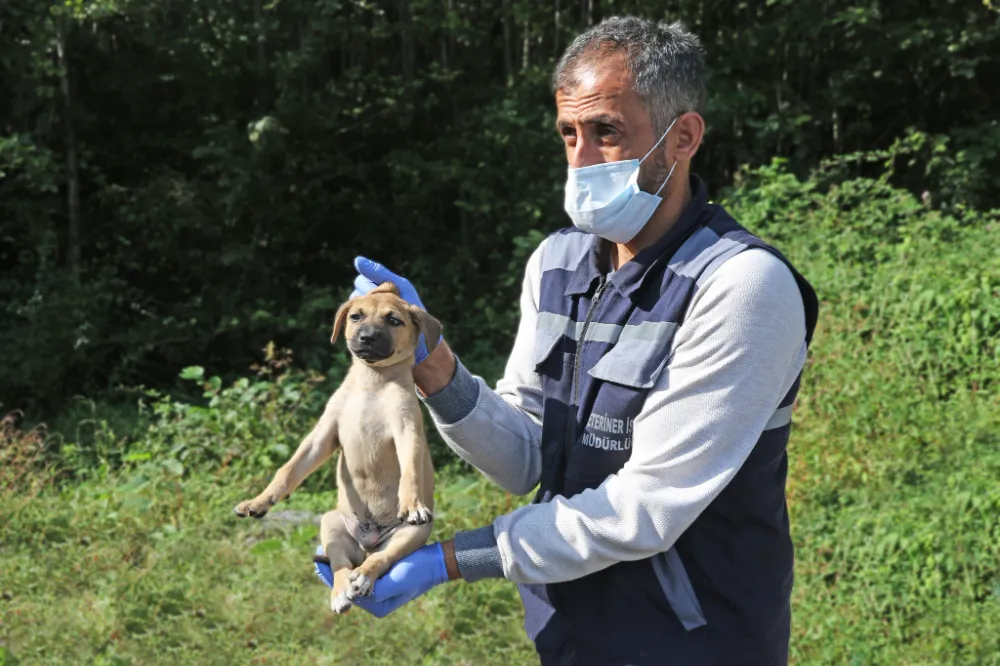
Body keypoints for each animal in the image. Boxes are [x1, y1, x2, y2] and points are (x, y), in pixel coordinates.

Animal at [236, 280, 440, 612]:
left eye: (394, 320)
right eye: (356, 316)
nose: (367, 337)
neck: (373, 381)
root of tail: (369, 542)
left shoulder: (407, 431)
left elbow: (410, 470)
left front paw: (411, 503)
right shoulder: (324, 434)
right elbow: (288, 470)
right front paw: (259, 501)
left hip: (410, 534)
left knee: (379, 560)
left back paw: (363, 578)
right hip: (332, 522)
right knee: (340, 562)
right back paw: (342, 590)